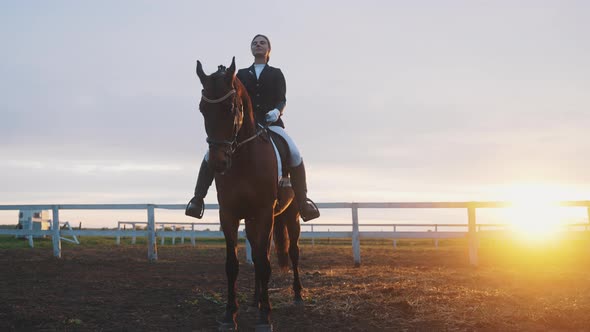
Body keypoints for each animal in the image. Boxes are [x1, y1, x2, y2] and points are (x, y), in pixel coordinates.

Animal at [197, 58, 302, 330]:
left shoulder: (264, 214)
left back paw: (297, 295)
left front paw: (265, 317)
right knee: (257, 253)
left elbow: (265, 264)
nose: (218, 163)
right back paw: (256, 299)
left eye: (231, 107)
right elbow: (232, 264)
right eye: (202, 109)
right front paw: (229, 314)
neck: (243, 159)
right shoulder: (229, 214)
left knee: (293, 252)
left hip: (290, 215)